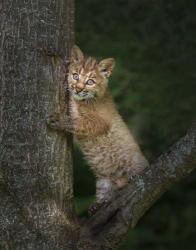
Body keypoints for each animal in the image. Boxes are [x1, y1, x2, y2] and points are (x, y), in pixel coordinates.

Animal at [47, 46, 149, 208]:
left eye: (90, 81)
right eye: (76, 76)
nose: (78, 88)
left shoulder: (99, 122)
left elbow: (76, 121)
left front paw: (58, 119)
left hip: (137, 164)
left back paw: (131, 178)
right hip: (103, 180)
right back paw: (99, 204)